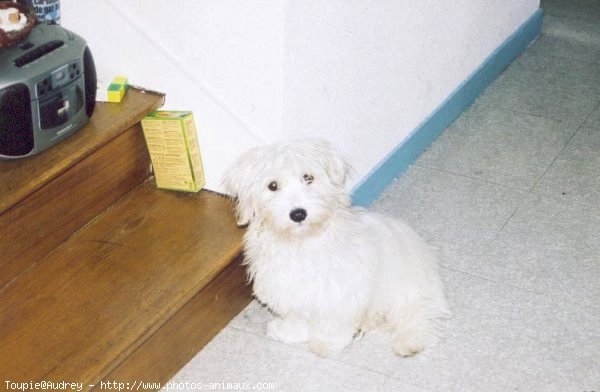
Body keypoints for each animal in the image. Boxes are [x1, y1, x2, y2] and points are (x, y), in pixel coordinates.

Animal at [223, 139, 452, 356]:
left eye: (308, 177)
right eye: (272, 185)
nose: (298, 214)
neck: (303, 242)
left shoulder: (340, 293)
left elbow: (332, 323)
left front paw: (325, 345)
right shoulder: (287, 289)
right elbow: (297, 316)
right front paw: (288, 332)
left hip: (408, 288)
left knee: (419, 314)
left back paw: (410, 342)